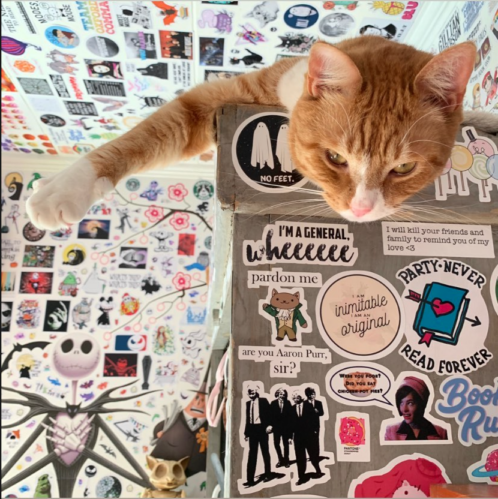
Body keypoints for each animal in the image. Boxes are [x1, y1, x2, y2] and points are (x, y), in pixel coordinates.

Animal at [27, 35, 482, 229]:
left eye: (403, 168)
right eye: (335, 158)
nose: (361, 209)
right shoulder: (220, 100)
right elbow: (141, 138)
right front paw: (66, 188)